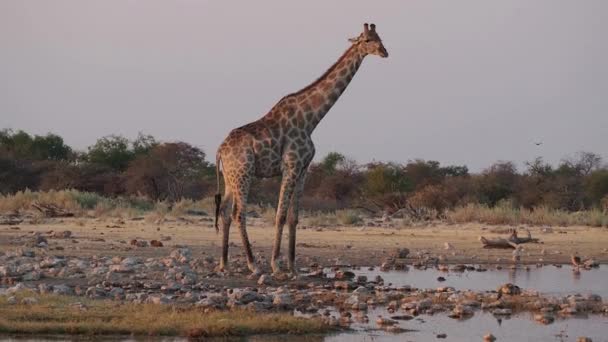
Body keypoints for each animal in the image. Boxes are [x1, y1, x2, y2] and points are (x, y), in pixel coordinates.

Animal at [213, 23, 384, 276]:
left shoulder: (304, 169)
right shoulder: (291, 165)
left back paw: (224, 263)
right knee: (238, 213)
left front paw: (293, 265)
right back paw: (253, 264)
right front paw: (276, 264)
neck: (311, 119)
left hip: (230, 177)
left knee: (224, 212)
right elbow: (280, 215)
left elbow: (294, 217)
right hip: (244, 173)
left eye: (380, 37)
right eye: (367, 40)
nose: (384, 52)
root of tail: (220, 150)